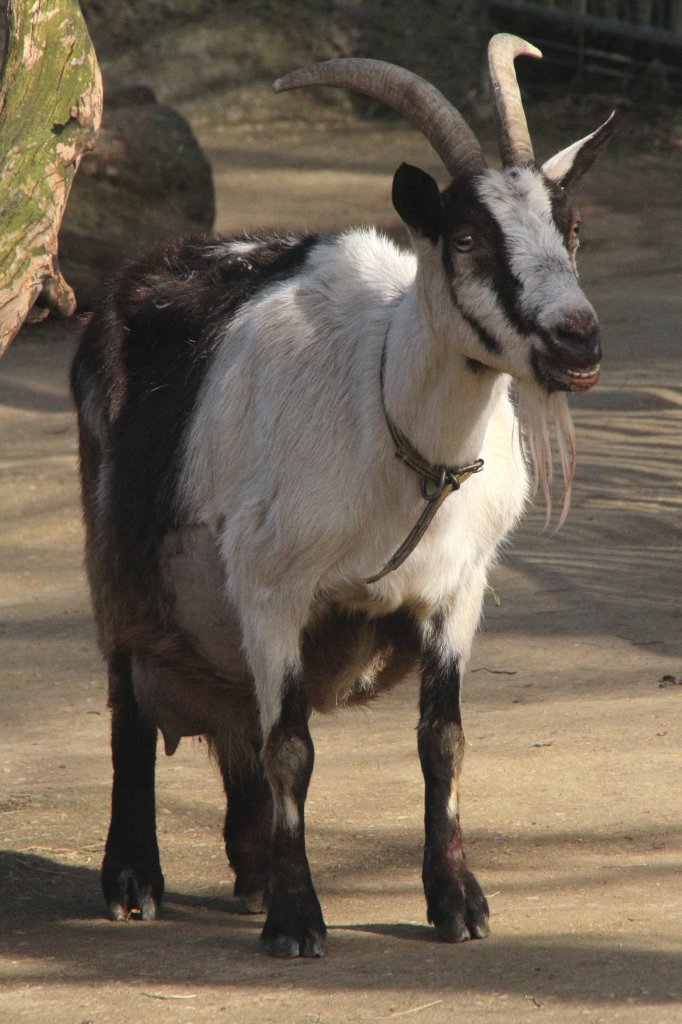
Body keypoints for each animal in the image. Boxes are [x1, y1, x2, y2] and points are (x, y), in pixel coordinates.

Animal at [71, 34, 614, 958]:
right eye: (465, 237)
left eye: (570, 229)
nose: (577, 341)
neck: (391, 420)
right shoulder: (269, 588)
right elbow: (292, 749)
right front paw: (298, 920)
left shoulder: (458, 590)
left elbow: (443, 741)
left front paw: (458, 902)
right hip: (120, 562)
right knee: (129, 702)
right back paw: (134, 879)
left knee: (232, 715)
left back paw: (251, 864)